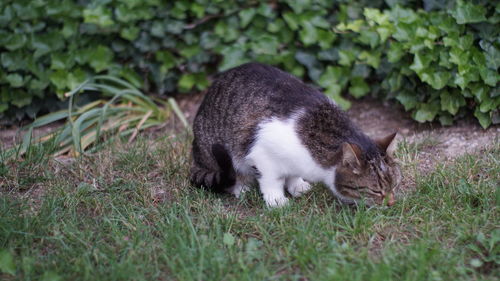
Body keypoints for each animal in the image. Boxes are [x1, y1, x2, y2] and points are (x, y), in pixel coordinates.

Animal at [189, 62, 400, 207]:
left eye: (394, 186)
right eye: (376, 191)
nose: (391, 203)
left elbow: (292, 174)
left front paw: (297, 185)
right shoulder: (262, 153)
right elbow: (272, 179)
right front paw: (276, 200)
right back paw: (241, 186)